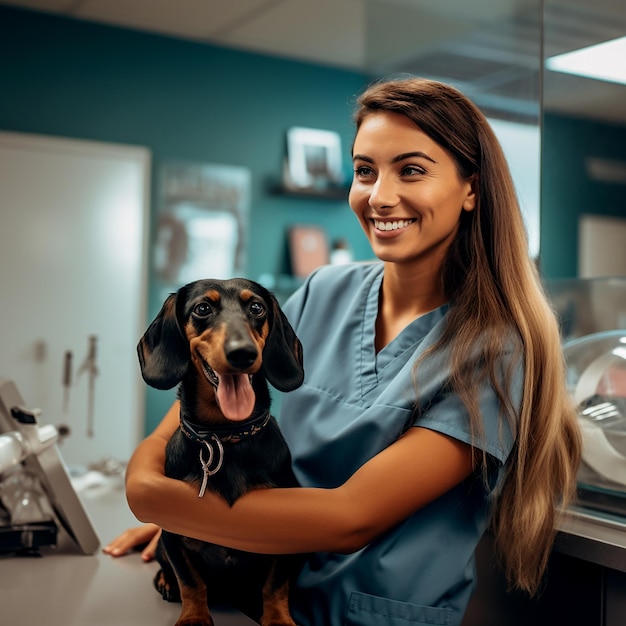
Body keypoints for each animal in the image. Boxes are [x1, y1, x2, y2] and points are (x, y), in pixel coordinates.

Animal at [137, 278, 304, 624]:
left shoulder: (285, 533)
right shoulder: (171, 529)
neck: (224, 437)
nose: (243, 353)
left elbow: (276, 585)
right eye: (203, 308)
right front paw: (194, 617)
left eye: (256, 308)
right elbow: (190, 581)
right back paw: (165, 581)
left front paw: (278, 618)